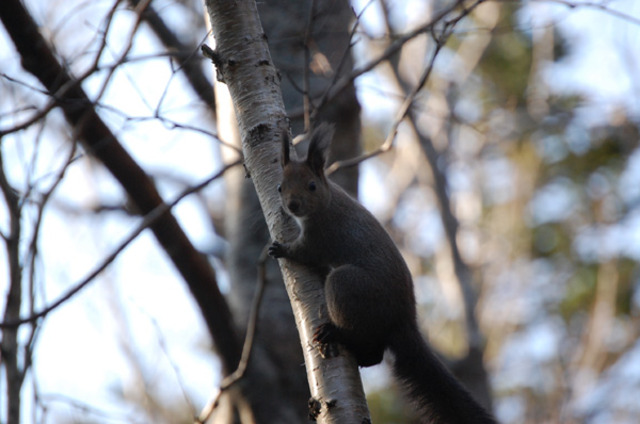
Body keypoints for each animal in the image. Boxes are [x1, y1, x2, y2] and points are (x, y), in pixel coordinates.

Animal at [268, 124, 498, 422]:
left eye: (311, 185)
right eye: (280, 186)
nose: (292, 205)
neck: (328, 199)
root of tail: (403, 320)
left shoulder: (320, 237)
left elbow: (303, 252)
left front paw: (281, 249)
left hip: (348, 285)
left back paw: (334, 334)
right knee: (375, 354)